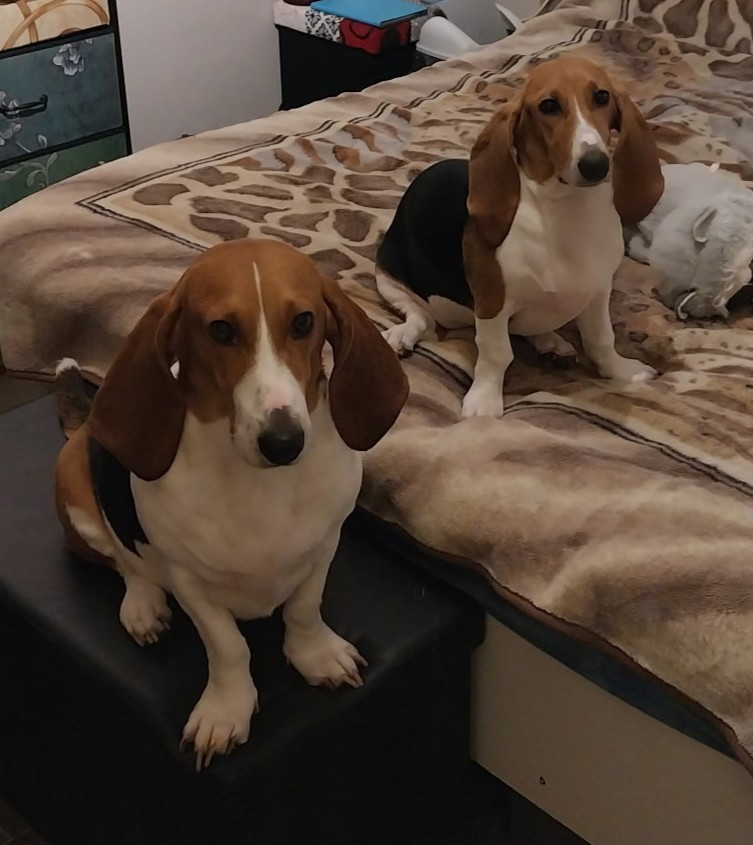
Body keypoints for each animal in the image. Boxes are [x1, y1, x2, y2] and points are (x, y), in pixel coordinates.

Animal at [54, 238, 408, 768]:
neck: (262, 484)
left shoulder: (325, 546)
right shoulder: (189, 582)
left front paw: (315, 654)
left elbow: (305, 608)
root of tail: (85, 427)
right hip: (74, 493)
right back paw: (142, 607)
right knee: (123, 560)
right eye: (220, 330)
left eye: (304, 322)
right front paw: (226, 710)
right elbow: (228, 647)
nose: (284, 442)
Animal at [375, 55, 664, 418]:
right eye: (548, 106)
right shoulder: (493, 302)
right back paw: (402, 335)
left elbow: (601, 339)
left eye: (602, 97)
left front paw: (621, 371)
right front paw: (484, 403)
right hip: (387, 275)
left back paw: (552, 342)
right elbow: (497, 353)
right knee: (421, 319)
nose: (595, 164)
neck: (568, 210)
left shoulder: (599, 292)